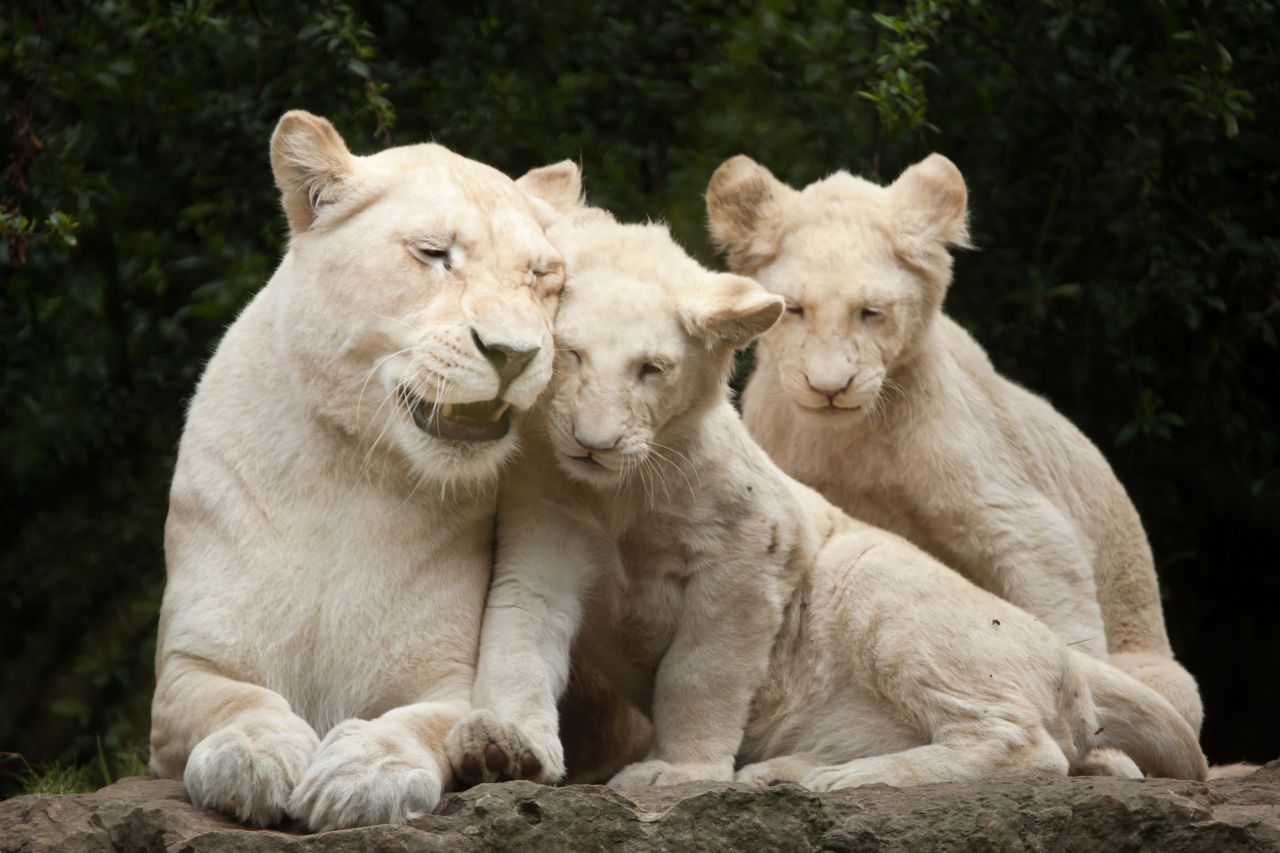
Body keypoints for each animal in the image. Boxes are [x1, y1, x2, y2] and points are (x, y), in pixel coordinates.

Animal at [146, 109, 581, 824]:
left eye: (541, 276)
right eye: (433, 253)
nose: (514, 354)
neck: (350, 470)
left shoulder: (451, 678)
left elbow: (415, 722)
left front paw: (363, 775)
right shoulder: (189, 664)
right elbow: (236, 699)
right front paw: (253, 757)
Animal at [445, 211, 1203, 788]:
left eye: (650, 369)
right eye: (570, 354)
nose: (592, 443)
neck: (620, 496)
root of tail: (1071, 660)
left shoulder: (752, 551)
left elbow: (701, 672)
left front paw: (675, 772)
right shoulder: (547, 539)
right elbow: (517, 639)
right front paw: (501, 747)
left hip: (882, 589)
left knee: (1025, 743)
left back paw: (834, 780)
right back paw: (784, 770)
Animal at [711, 151, 1198, 732]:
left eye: (871, 311)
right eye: (797, 309)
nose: (830, 388)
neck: (849, 442)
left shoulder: (1011, 505)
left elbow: (1051, 584)